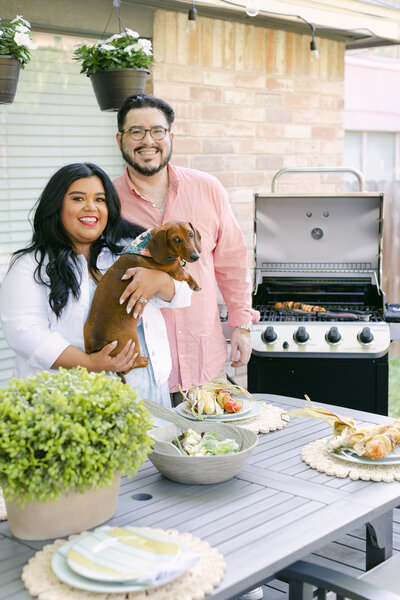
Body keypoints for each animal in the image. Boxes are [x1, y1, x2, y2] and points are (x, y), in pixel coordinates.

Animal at [85, 220, 203, 376]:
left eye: (191, 234)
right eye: (176, 239)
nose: (196, 256)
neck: (146, 245)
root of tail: (98, 346)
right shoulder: (174, 270)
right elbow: (185, 273)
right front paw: (195, 284)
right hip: (132, 345)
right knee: (127, 368)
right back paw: (141, 361)